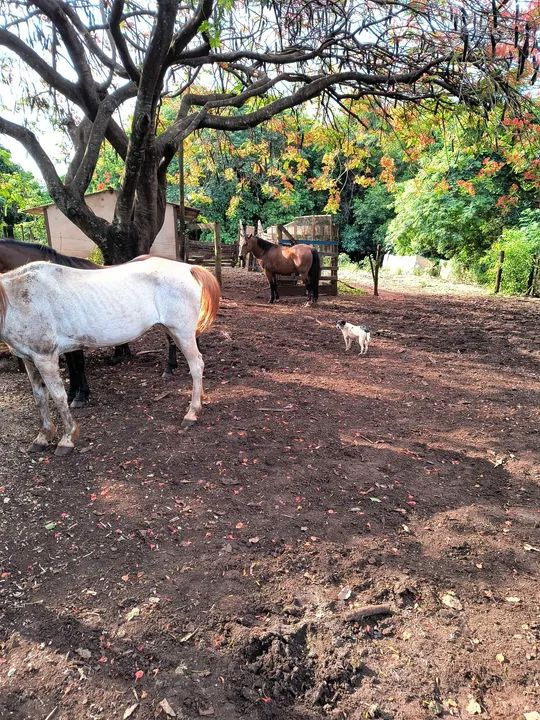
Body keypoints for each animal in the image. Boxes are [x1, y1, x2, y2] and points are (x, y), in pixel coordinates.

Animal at [0, 239, 180, 406]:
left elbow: (78, 364)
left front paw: (81, 396)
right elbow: (71, 366)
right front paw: (72, 393)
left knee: (171, 340)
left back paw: (169, 368)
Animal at [0, 257, 220, 456]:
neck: (18, 299)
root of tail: (188, 268)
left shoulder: (45, 357)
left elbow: (58, 396)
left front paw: (67, 438)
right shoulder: (30, 359)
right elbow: (39, 396)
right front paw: (43, 436)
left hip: (182, 333)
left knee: (196, 366)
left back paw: (192, 413)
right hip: (173, 331)